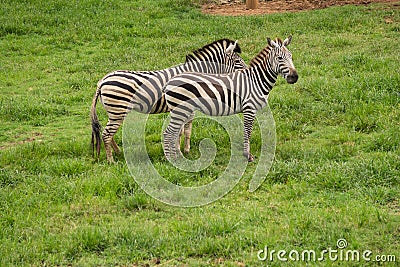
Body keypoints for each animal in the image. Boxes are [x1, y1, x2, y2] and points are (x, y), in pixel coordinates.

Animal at [91, 38, 247, 162]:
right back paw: (111, 160)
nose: (247, 73)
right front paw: (181, 151)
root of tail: (102, 81)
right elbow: (183, 130)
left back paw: (118, 153)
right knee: (106, 134)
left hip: (115, 112)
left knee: (108, 133)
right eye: (238, 61)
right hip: (118, 110)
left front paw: (182, 150)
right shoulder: (186, 105)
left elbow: (184, 130)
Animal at [164, 36, 298, 162]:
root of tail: (169, 82)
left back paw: (176, 156)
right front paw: (247, 155)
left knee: (174, 132)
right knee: (169, 132)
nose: (294, 77)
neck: (256, 80)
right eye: (279, 58)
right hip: (180, 109)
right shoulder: (249, 108)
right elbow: (247, 131)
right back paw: (171, 159)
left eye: (291, 56)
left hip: (182, 110)